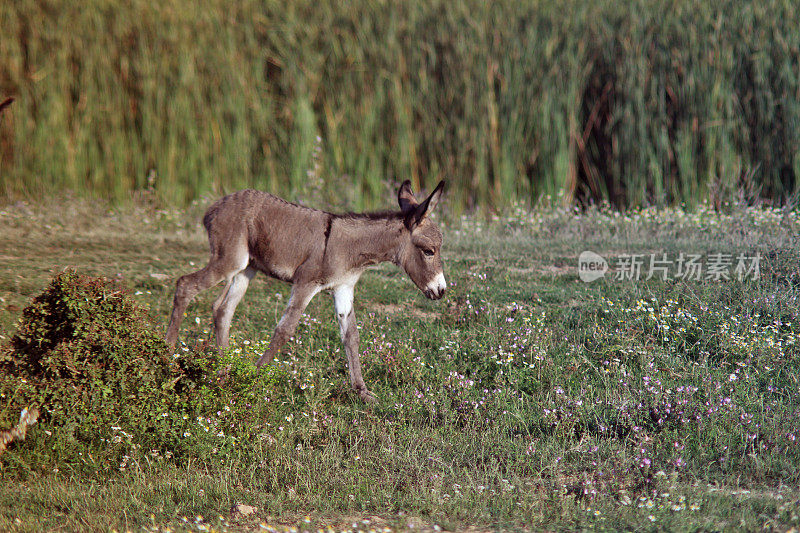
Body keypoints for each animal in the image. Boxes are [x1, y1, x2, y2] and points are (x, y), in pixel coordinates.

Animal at [166, 181, 446, 402]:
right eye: (429, 251)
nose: (441, 291)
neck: (351, 249)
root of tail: (216, 206)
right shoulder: (305, 284)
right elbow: (284, 331)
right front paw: (255, 377)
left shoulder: (343, 288)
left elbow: (351, 337)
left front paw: (363, 392)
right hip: (229, 260)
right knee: (185, 285)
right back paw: (167, 353)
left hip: (247, 268)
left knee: (222, 309)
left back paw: (224, 370)